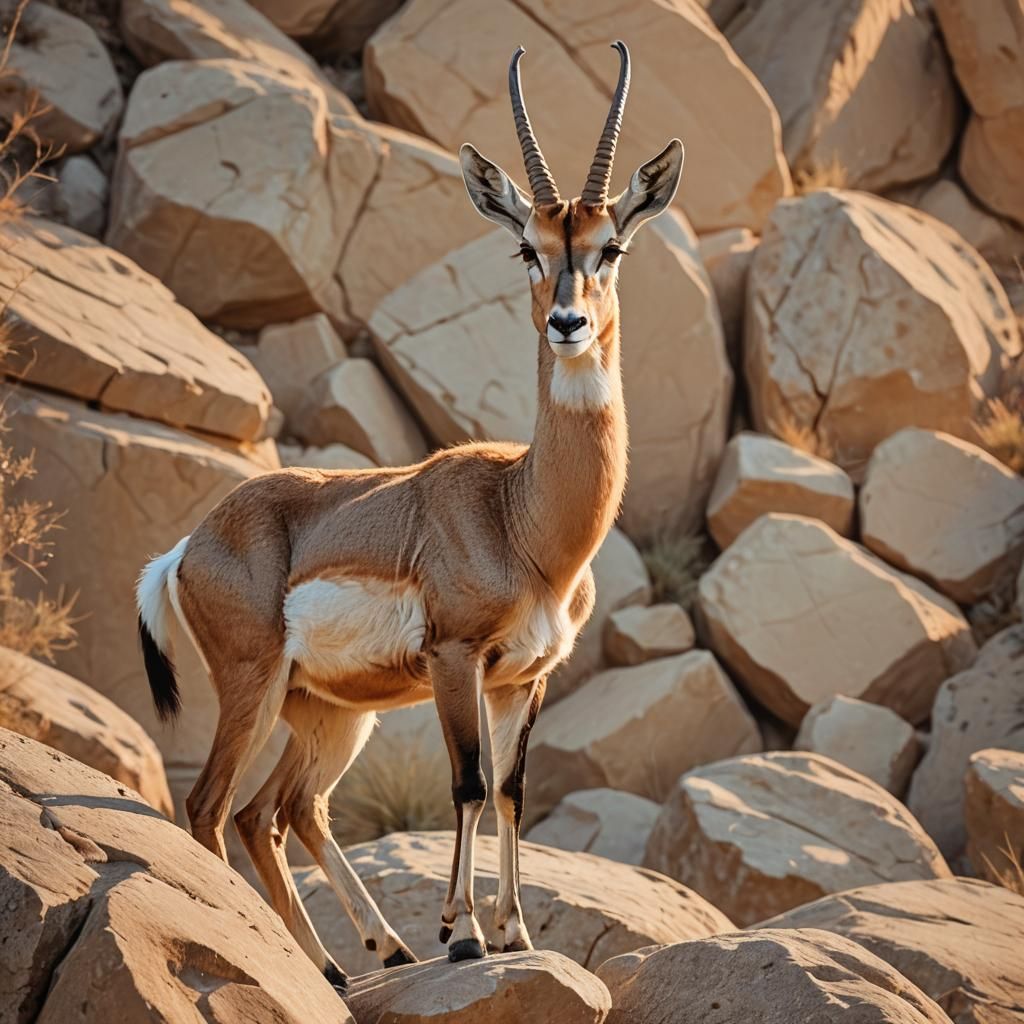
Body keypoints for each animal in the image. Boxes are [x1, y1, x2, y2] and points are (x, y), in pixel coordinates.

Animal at [136, 41, 683, 991]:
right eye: (528, 247)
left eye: (610, 244)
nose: (568, 323)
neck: (524, 521)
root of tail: (188, 546)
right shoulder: (457, 660)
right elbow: (467, 784)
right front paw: (462, 936)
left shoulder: (524, 680)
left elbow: (511, 791)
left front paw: (515, 934)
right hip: (256, 688)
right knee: (211, 807)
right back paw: (326, 958)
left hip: (327, 713)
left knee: (278, 811)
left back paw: (354, 959)